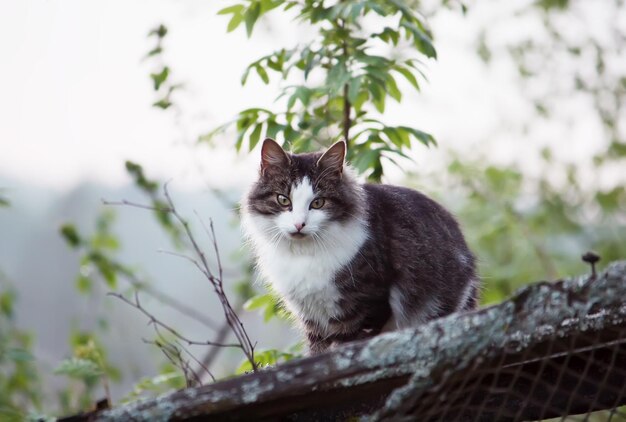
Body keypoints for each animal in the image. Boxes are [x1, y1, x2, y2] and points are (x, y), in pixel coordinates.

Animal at [241, 140, 476, 354]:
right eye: (283, 200)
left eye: (318, 203)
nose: (299, 224)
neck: (303, 256)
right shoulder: (312, 319)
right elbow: (318, 351)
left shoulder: (369, 307)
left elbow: (350, 342)